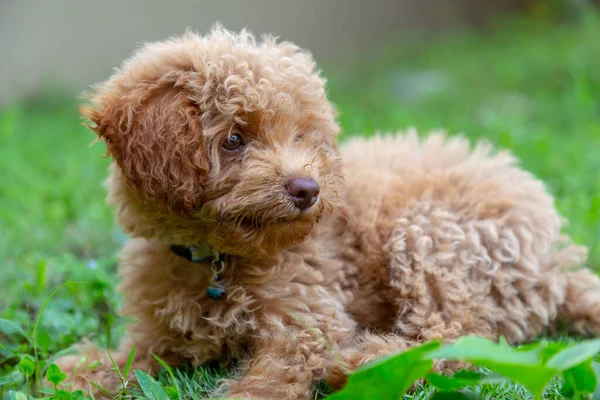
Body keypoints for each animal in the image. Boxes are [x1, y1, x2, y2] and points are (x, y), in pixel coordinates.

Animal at [58, 26, 600, 398]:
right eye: (234, 139)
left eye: (302, 136)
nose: (307, 189)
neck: (217, 259)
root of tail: (554, 263)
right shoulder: (158, 335)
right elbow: (126, 360)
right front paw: (77, 373)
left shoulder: (307, 319)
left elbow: (271, 378)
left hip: (433, 236)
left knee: (458, 338)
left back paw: (365, 365)